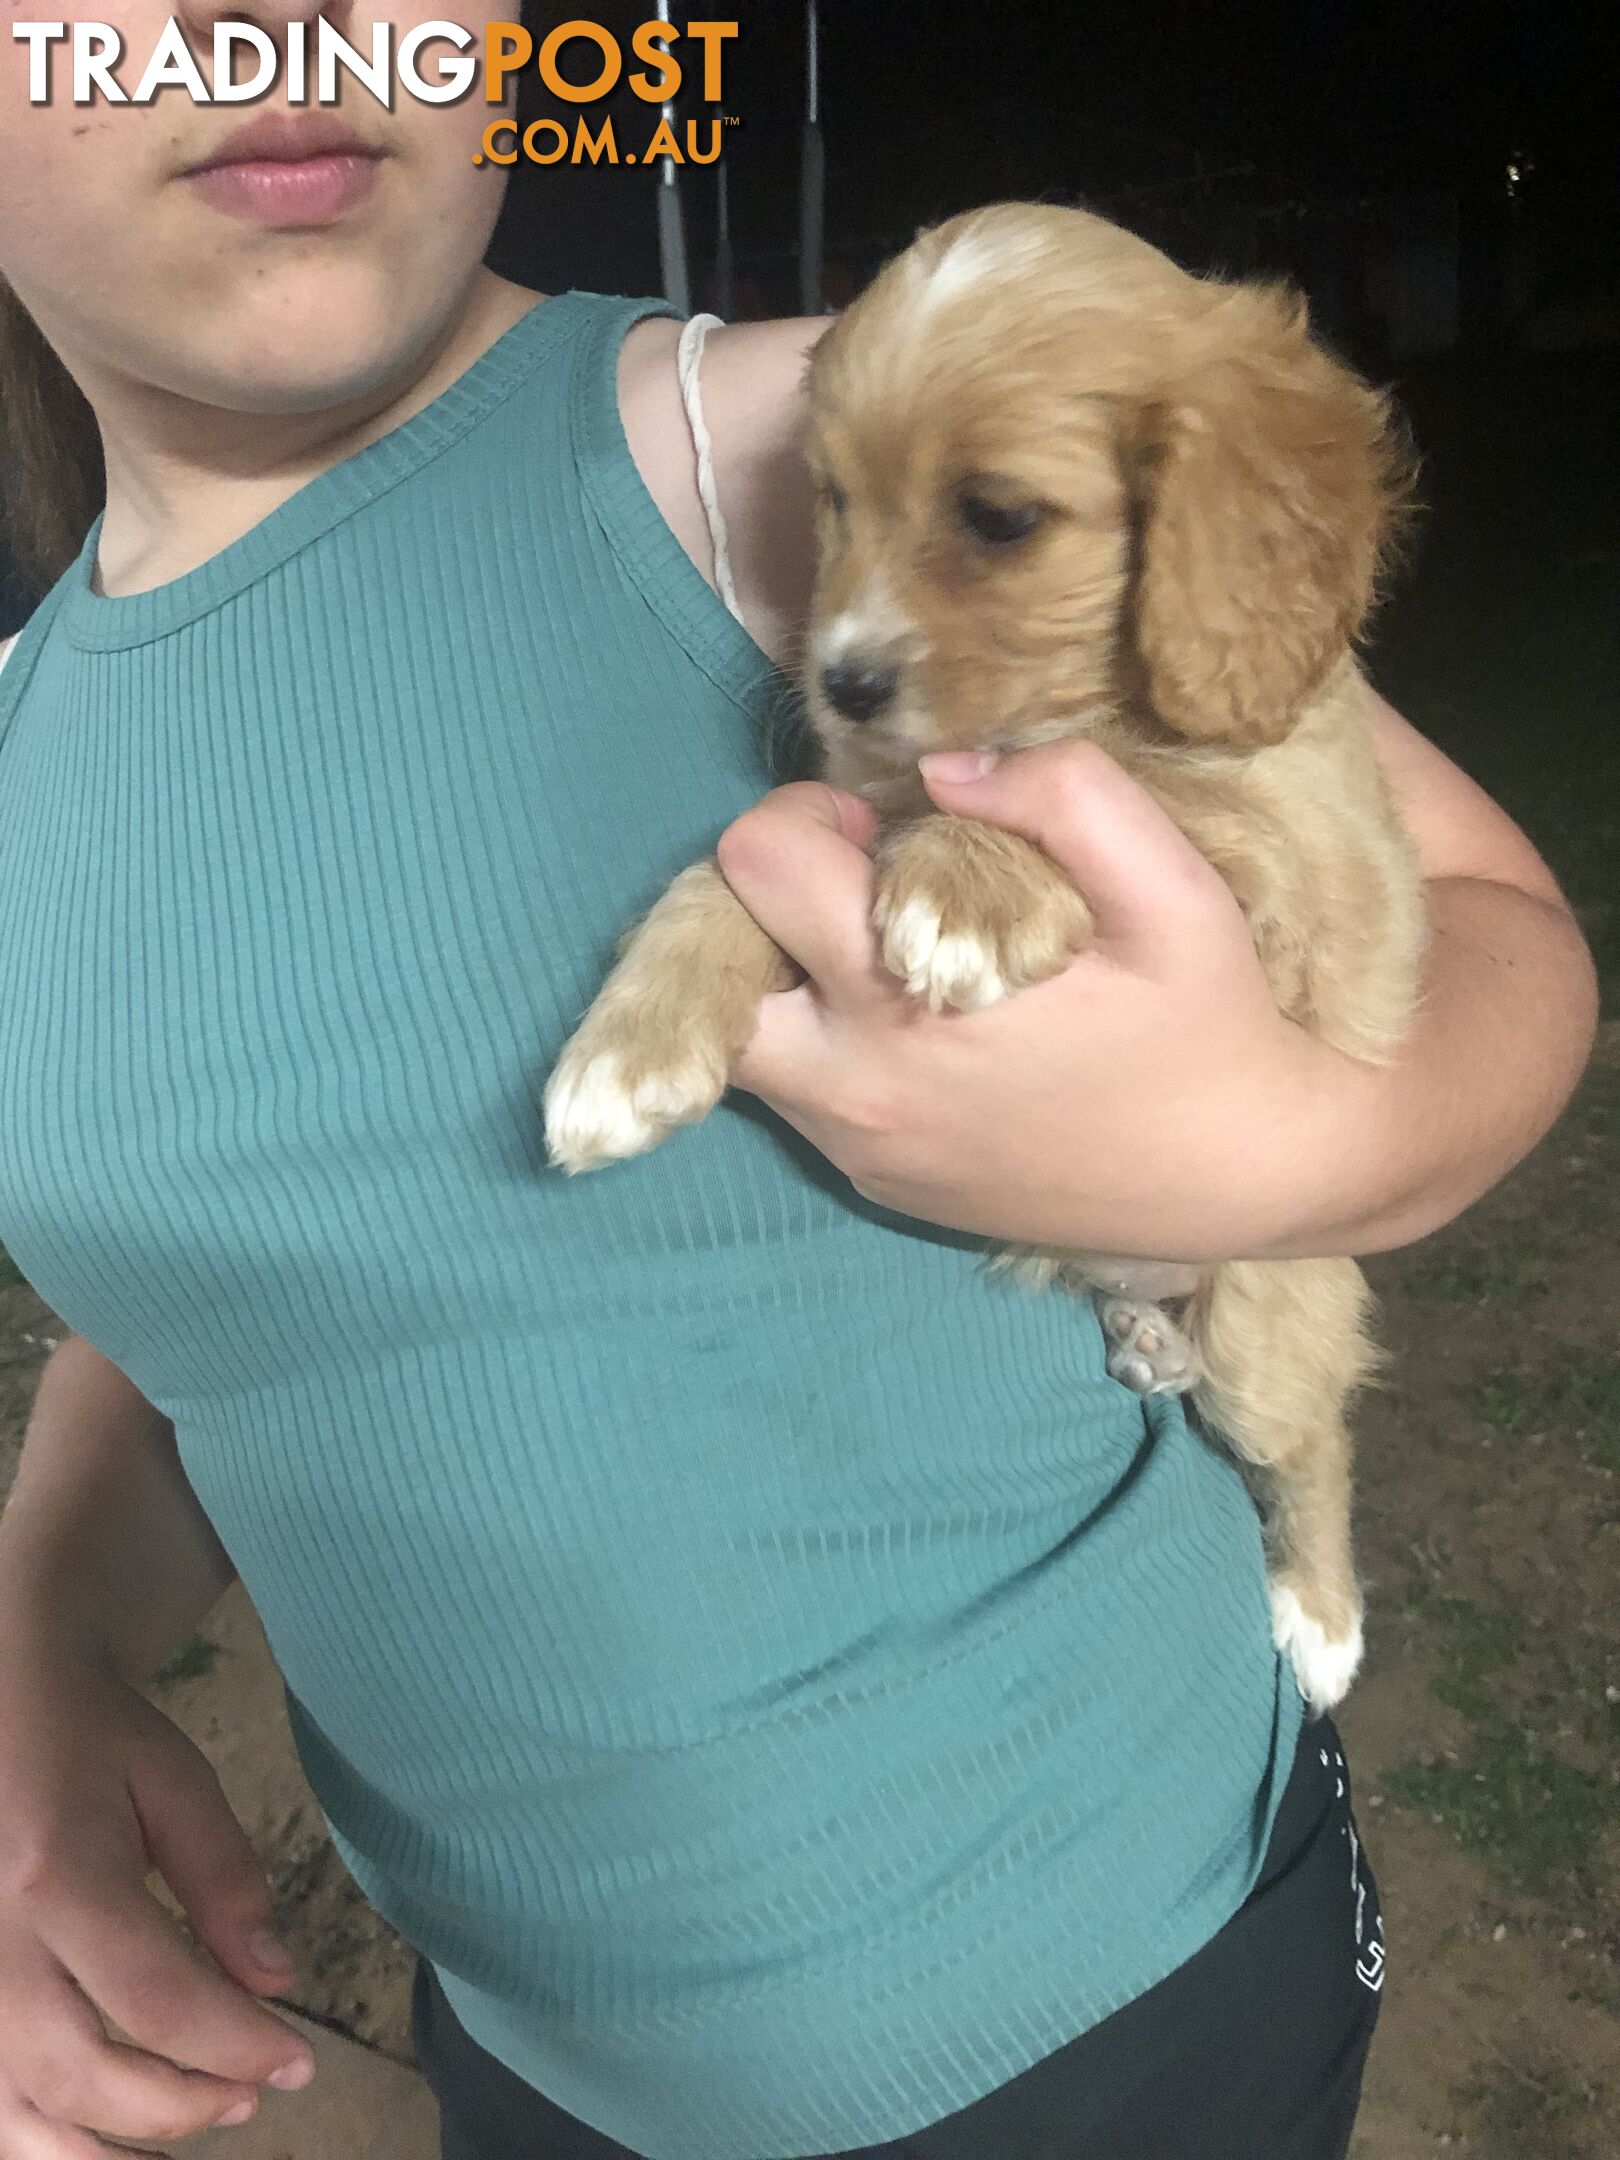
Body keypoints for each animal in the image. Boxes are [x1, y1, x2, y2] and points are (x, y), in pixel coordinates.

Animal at [552, 206, 1425, 1719]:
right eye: (832, 499)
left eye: (1001, 517)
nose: (838, 683)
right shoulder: (842, 811)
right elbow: (723, 870)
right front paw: (628, 1054)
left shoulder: (1296, 868)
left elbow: (1112, 784)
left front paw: (967, 882)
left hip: (1275, 1321)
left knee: (1308, 1441)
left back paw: (1320, 1617)